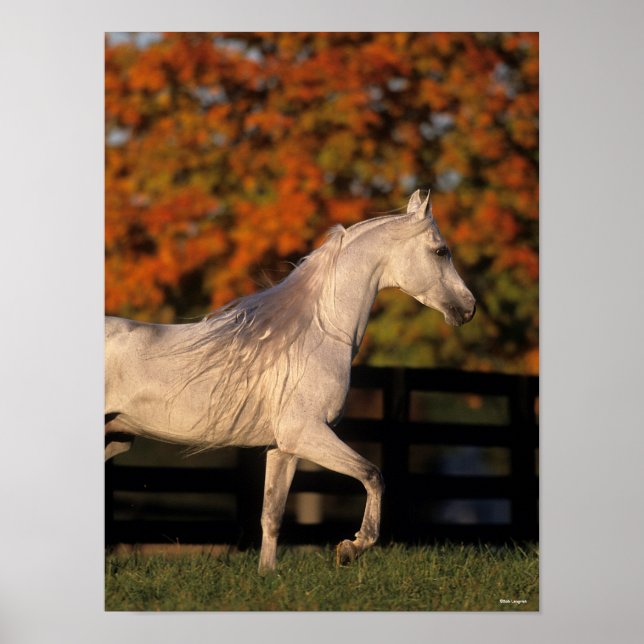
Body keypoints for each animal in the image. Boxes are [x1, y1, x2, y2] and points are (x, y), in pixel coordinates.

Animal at [105, 189, 476, 573]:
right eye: (441, 251)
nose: (468, 308)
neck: (315, 335)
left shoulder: (284, 449)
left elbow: (272, 515)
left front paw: (267, 574)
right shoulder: (307, 433)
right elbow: (373, 475)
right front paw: (351, 548)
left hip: (114, 438)